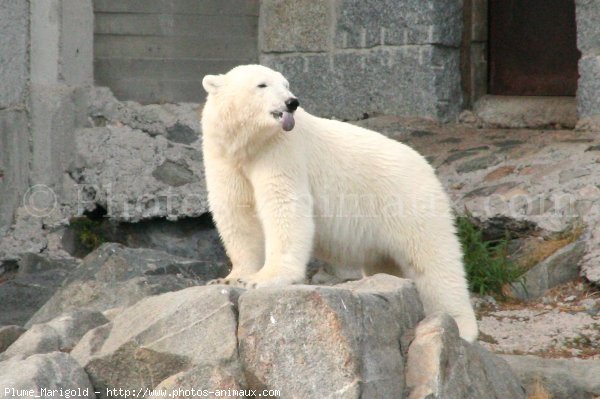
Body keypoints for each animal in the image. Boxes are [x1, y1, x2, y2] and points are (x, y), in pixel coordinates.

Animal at [202, 64, 478, 342]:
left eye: (286, 84)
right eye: (262, 85)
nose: (291, 102)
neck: (249, 144)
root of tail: (427, 166)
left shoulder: (281, 151)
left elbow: (284, 207)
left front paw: (262, 279)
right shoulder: (225, 157)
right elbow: (236, 214)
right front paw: (230, 279)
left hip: (408, 201)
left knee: (433, 260)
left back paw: (461, 326)